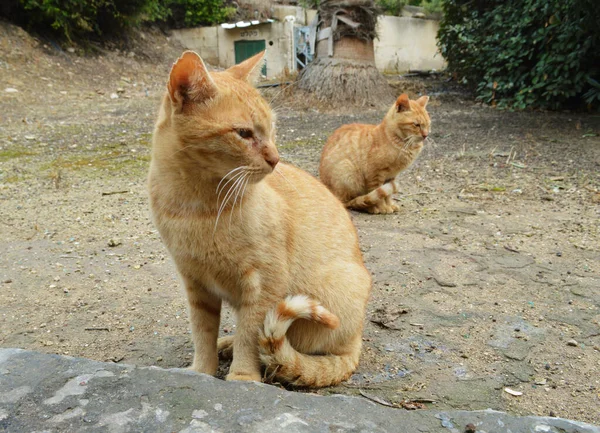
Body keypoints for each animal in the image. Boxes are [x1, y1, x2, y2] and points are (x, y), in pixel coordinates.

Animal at [147, 49, 370, 384]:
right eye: (244, 133)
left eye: (272, 129)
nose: (275, 159)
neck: (196, 206)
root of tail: (357, 340)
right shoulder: (196, 284)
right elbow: (203, 333)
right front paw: (201, 371)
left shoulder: (264, 284)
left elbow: (250, 334)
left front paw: (242, 376)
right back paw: (226, 344)